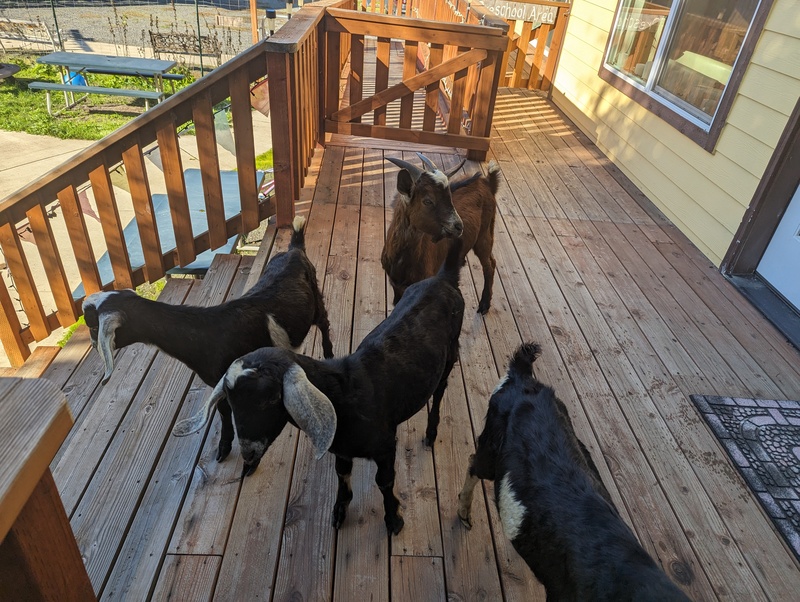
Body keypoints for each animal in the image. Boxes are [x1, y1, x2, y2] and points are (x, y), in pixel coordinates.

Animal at [86, 214, 336, 460]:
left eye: (93, 326)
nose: (92, 344)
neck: (207, 332)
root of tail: (295, 248)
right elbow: (223, 411)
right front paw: (224, 447)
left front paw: (226, 447)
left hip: (316, 302)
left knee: (324, 323)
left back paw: (329, 354)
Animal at [172, 237, 466, 532]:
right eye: (230, 401)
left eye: (270, 399)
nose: (248, 452)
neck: (345, 393)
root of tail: (444, 277)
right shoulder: (343, 451)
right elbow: (342, 475)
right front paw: (339, 511)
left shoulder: (385, 446)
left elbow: (384, 482)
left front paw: (394, 520)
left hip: (450, 353)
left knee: (440, 391)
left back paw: (431, 432)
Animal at [382, 152, 500, 314]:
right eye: (428, 201)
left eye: (449, 196)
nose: (458, 226)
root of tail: (488, 182)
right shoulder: (395, 285)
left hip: (485, 233)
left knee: (490, 264)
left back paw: (484, 304)